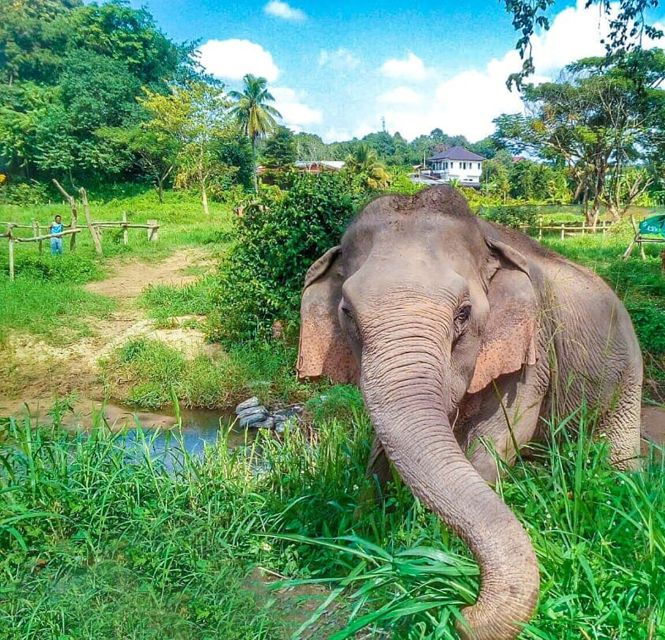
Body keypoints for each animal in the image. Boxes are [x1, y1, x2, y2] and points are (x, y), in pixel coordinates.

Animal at [296, 186, 642, 640]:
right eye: (347, 313)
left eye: (463, 314)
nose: (463, 609)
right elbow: (382, 440)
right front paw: (361, 531)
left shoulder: (532, 347)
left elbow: (505, 432)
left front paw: (435, 548)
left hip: (628, 371)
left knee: (616, 452)